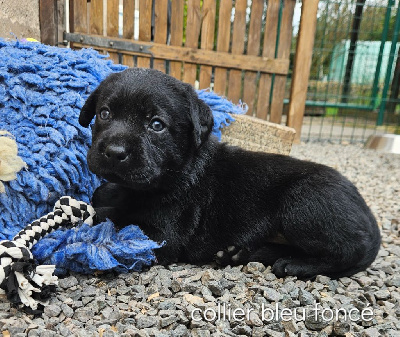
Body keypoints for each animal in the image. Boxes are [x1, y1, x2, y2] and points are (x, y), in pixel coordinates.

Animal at [79, 67, 382, 278]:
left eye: (156, 125)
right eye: (104, 113)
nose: (114, 152)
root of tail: (368, 214)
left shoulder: (162, 235)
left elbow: (114, 217)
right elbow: (108, 197)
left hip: (303, 204)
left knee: (349, 251)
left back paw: (295, 265)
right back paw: (236, 254)